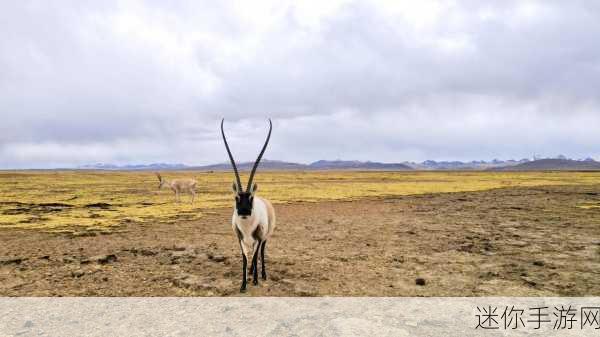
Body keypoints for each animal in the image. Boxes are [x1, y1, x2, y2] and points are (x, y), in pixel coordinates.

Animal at [220, 118, 276, 292]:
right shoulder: (240, 238)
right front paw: (243, 285)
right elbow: (245, 258)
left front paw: (256, 280)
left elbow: (256, 255)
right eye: (236, 197)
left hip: (266, 236)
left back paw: (261, 274)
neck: (246, 226)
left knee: (261, 252)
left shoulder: (259, 236)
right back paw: (251, 272)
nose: (244, 211)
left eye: (251, 197)